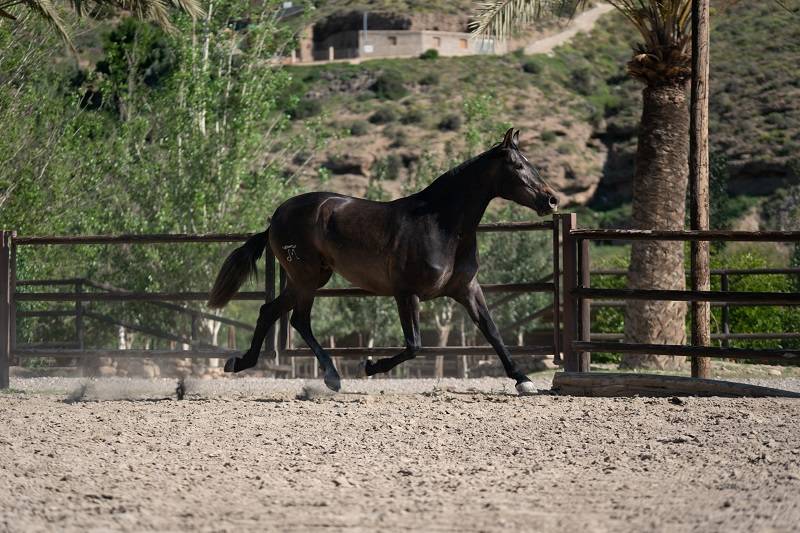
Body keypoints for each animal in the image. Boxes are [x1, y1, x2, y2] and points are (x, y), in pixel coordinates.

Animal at [208, 128, 559, 395]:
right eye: (517, 166)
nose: (552, 199)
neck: (442, 224)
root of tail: (275, 218)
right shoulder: (406, 293)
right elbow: (414, 345)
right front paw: (370, 365)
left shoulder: (467, 289)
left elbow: (492, 331)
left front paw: (524, 380)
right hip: (306, 278)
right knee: (298, 320)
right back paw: (331, 376)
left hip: (307, 278)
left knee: (271, 312)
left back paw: (240, 363)